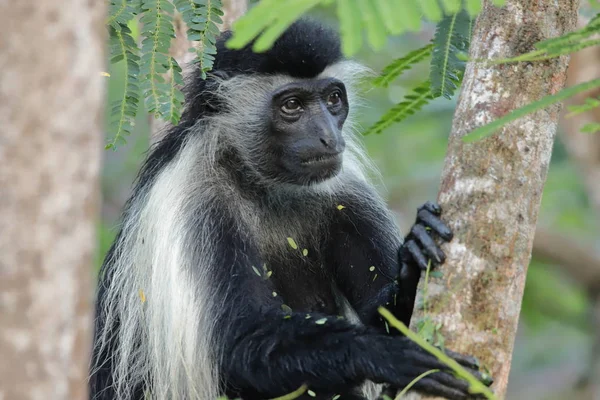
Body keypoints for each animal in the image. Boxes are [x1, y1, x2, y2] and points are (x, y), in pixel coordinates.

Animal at [91, 18, 490, 400]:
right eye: (292, 106)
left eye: (333, 99)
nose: (329, 136)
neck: (261, 186)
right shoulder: (196, 205)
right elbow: (239, 345)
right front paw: (387, 355)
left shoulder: (346, 195)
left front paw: (416, 249)